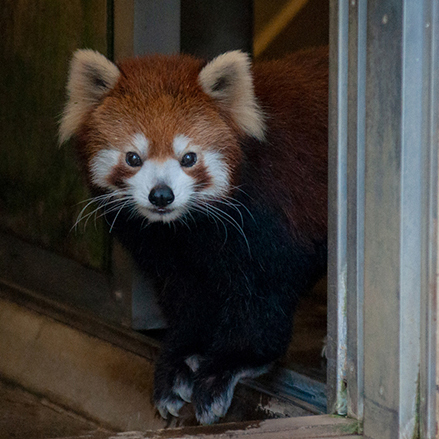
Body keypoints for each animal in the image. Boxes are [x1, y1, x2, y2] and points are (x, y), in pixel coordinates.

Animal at [60, 48, 328, 426]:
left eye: (188, 158)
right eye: (133, 158)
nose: (161, 195)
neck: (188, 227)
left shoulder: (270, 221)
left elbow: (262, 298)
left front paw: (228, 365)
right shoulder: (164, 248)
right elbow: (186, 296)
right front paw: (179, 360)